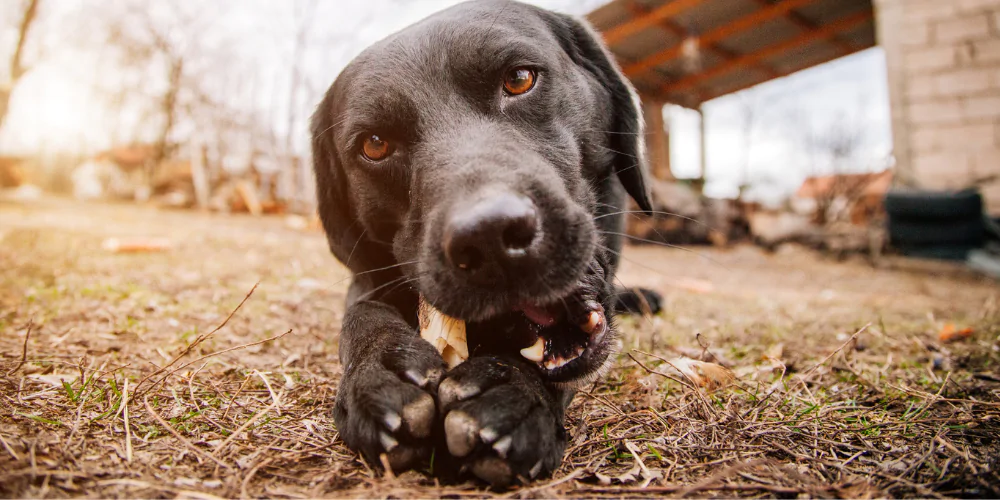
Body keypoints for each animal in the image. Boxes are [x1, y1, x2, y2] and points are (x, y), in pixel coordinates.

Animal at [308, 0, 660, 484]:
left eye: (520, 79)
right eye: (374, 145)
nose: (489, 236)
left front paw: (510, 387)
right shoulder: (366, 278)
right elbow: (361, 313)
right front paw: (378, 371)